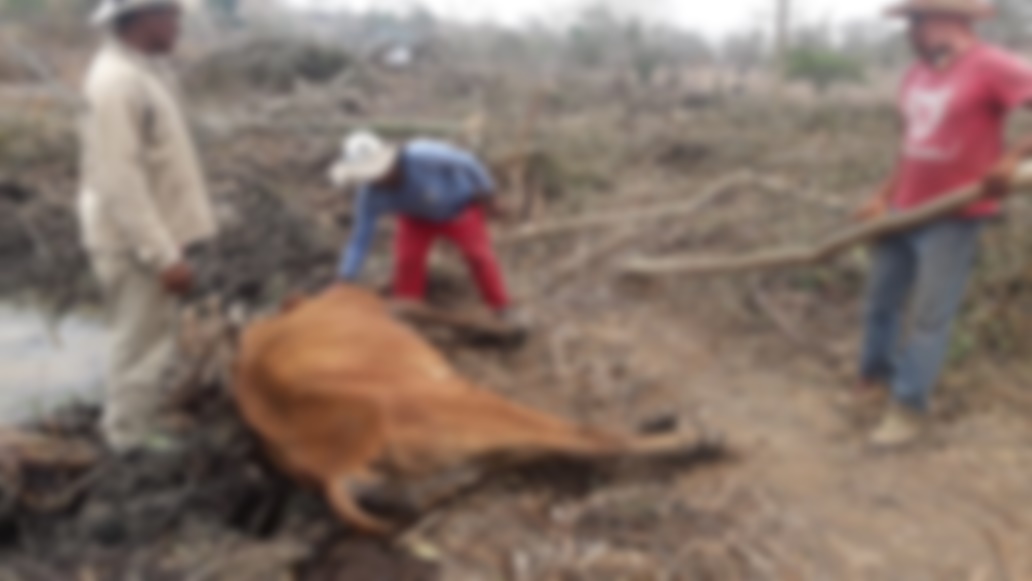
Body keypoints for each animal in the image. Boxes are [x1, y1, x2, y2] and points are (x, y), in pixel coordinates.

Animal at [231, 286, 705, 536]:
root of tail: (335, 471)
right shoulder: (377, 302)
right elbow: (426, 305)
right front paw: (506, 327)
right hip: (478, 408)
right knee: (588, 438)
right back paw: (691, 440)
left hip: (460, 463)